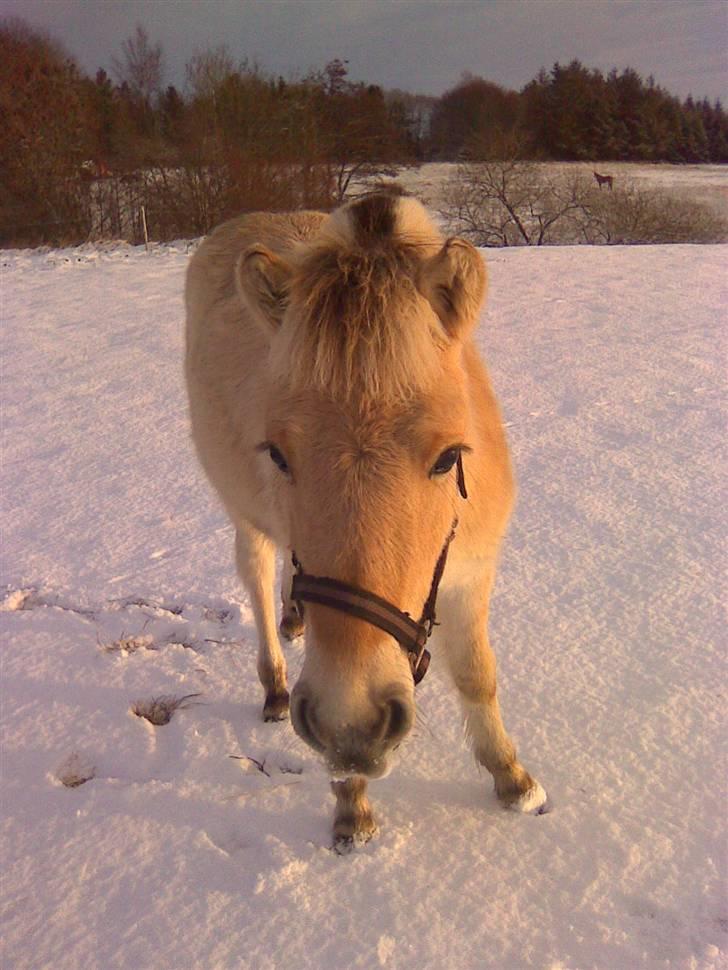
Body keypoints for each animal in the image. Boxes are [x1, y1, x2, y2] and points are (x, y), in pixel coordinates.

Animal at [185, 189, 548, 848]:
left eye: (449, 457)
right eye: (278, 454)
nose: (351, 720)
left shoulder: (473, 571)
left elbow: (477, 675)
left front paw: (514, 781)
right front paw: (351, 809)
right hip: (244, 515)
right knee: (257, 573)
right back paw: (274, 682)